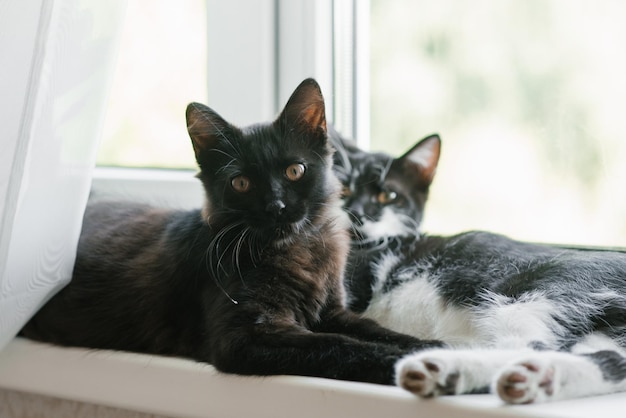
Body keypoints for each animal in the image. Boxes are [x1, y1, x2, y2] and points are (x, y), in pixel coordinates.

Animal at [20, 78, 438, 386]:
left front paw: (434, 346)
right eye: (241, 183)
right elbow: (339, 346)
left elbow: (376, 329)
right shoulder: (245, 335)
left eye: (295, 171)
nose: (276, 206)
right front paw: (406, 361)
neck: (294, 249)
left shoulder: (333, 311)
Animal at [334, 133, 624, 402]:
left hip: (534, 291)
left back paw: (445, 368)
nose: (356, 214)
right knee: (611, 358)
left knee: (529, 346)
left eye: (388, 195)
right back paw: (530, 378)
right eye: (343, 189)